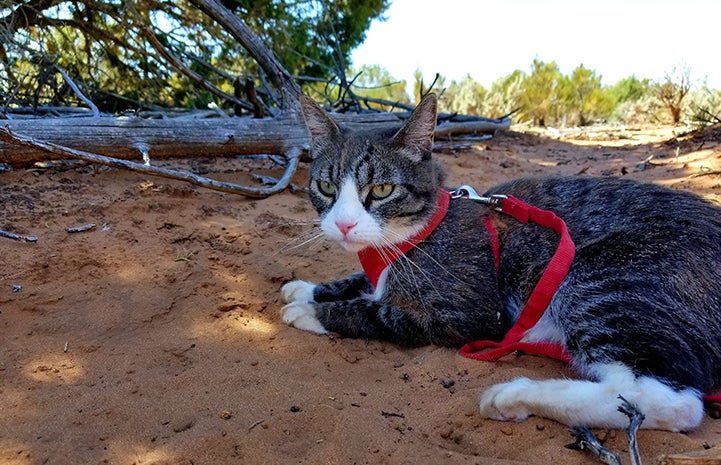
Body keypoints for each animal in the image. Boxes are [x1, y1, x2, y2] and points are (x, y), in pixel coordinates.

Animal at [278, 92, 720, 434]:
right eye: (326, 186)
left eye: (383, 190)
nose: (343, 223)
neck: (415, 234)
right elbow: (361, 282)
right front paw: (309, 288)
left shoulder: (472, 314)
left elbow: (377, 313)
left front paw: (311, 310)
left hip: (602, 277)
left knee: (666, 399)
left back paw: (517, 395)